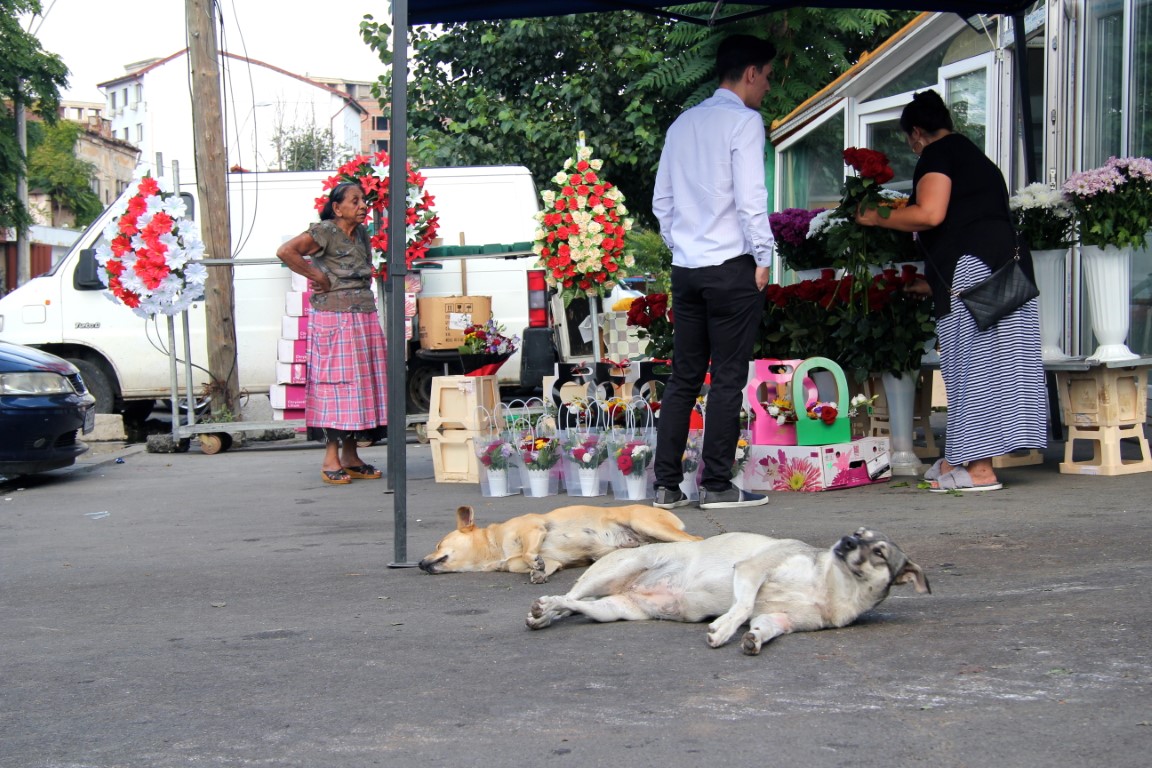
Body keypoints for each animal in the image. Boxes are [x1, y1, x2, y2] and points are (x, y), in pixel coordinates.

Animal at [419, 504, 695, 582]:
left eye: (438, 544)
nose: (420, 563)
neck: (494, 550)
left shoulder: (534, 529)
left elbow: (529, 551)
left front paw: (532, 561)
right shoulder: (552, 561)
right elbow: (544, 564)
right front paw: (538, 572)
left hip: (645, 523)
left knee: (695, 541)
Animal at [527, 529, 930, 654]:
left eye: (880, 552)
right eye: (859, 534)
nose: (845, 540)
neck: (830, 585)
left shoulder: (780, 619)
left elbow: (763, 625)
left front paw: (753, 638)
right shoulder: (752, 570)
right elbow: (743, 606)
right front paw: (723, 629)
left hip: (613, 610)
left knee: (579, 605)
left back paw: (547, 613)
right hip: (618, 570)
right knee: (569, 598)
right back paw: (545, 608)